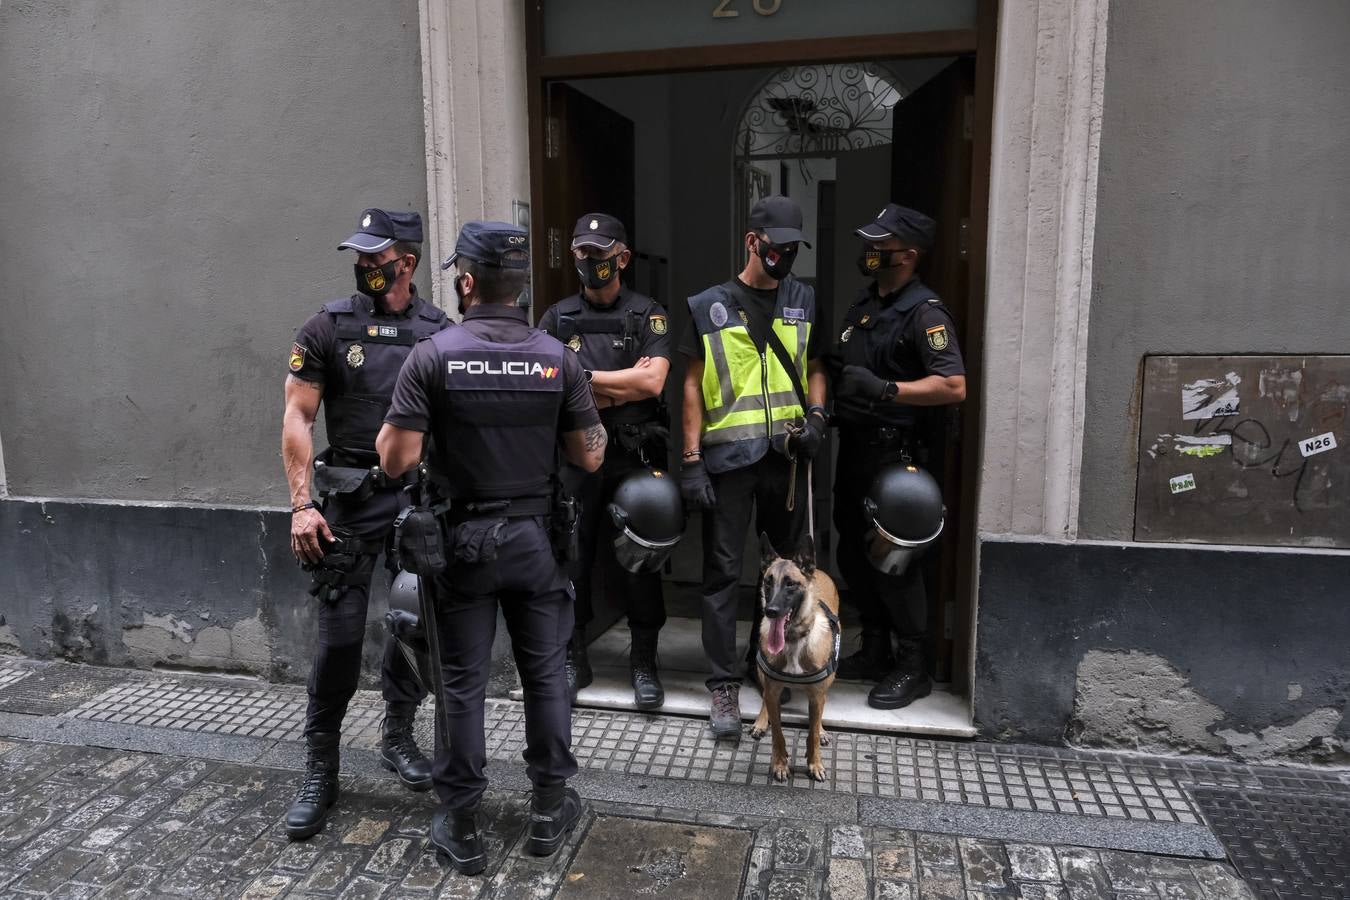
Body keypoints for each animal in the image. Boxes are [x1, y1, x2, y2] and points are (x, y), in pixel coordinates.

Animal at [756, 534, 837, 782]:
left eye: (790, 583)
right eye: (768, 582)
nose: (771, 611)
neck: (792, 640)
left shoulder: (817, 696)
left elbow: (811, 733)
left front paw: (815, 763)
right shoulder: (773, 691)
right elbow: (778, 733)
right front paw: (780, 764)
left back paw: (822, 729)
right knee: (764, 697)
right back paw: (760, 721)